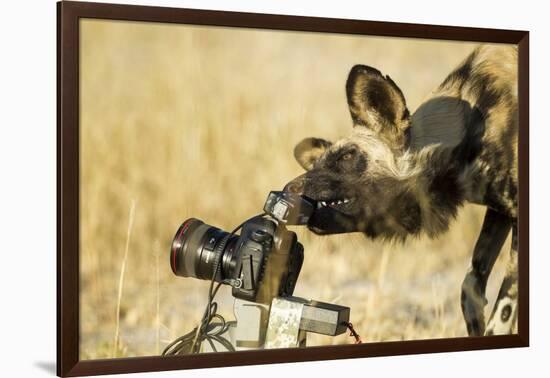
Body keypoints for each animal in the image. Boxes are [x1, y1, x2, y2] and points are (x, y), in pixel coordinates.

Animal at [286, 45, 520, 336]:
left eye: (347, 156)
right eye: (318, 163)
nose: (287, 189)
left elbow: (503, 310)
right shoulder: (500, 211)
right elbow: (471, 285)